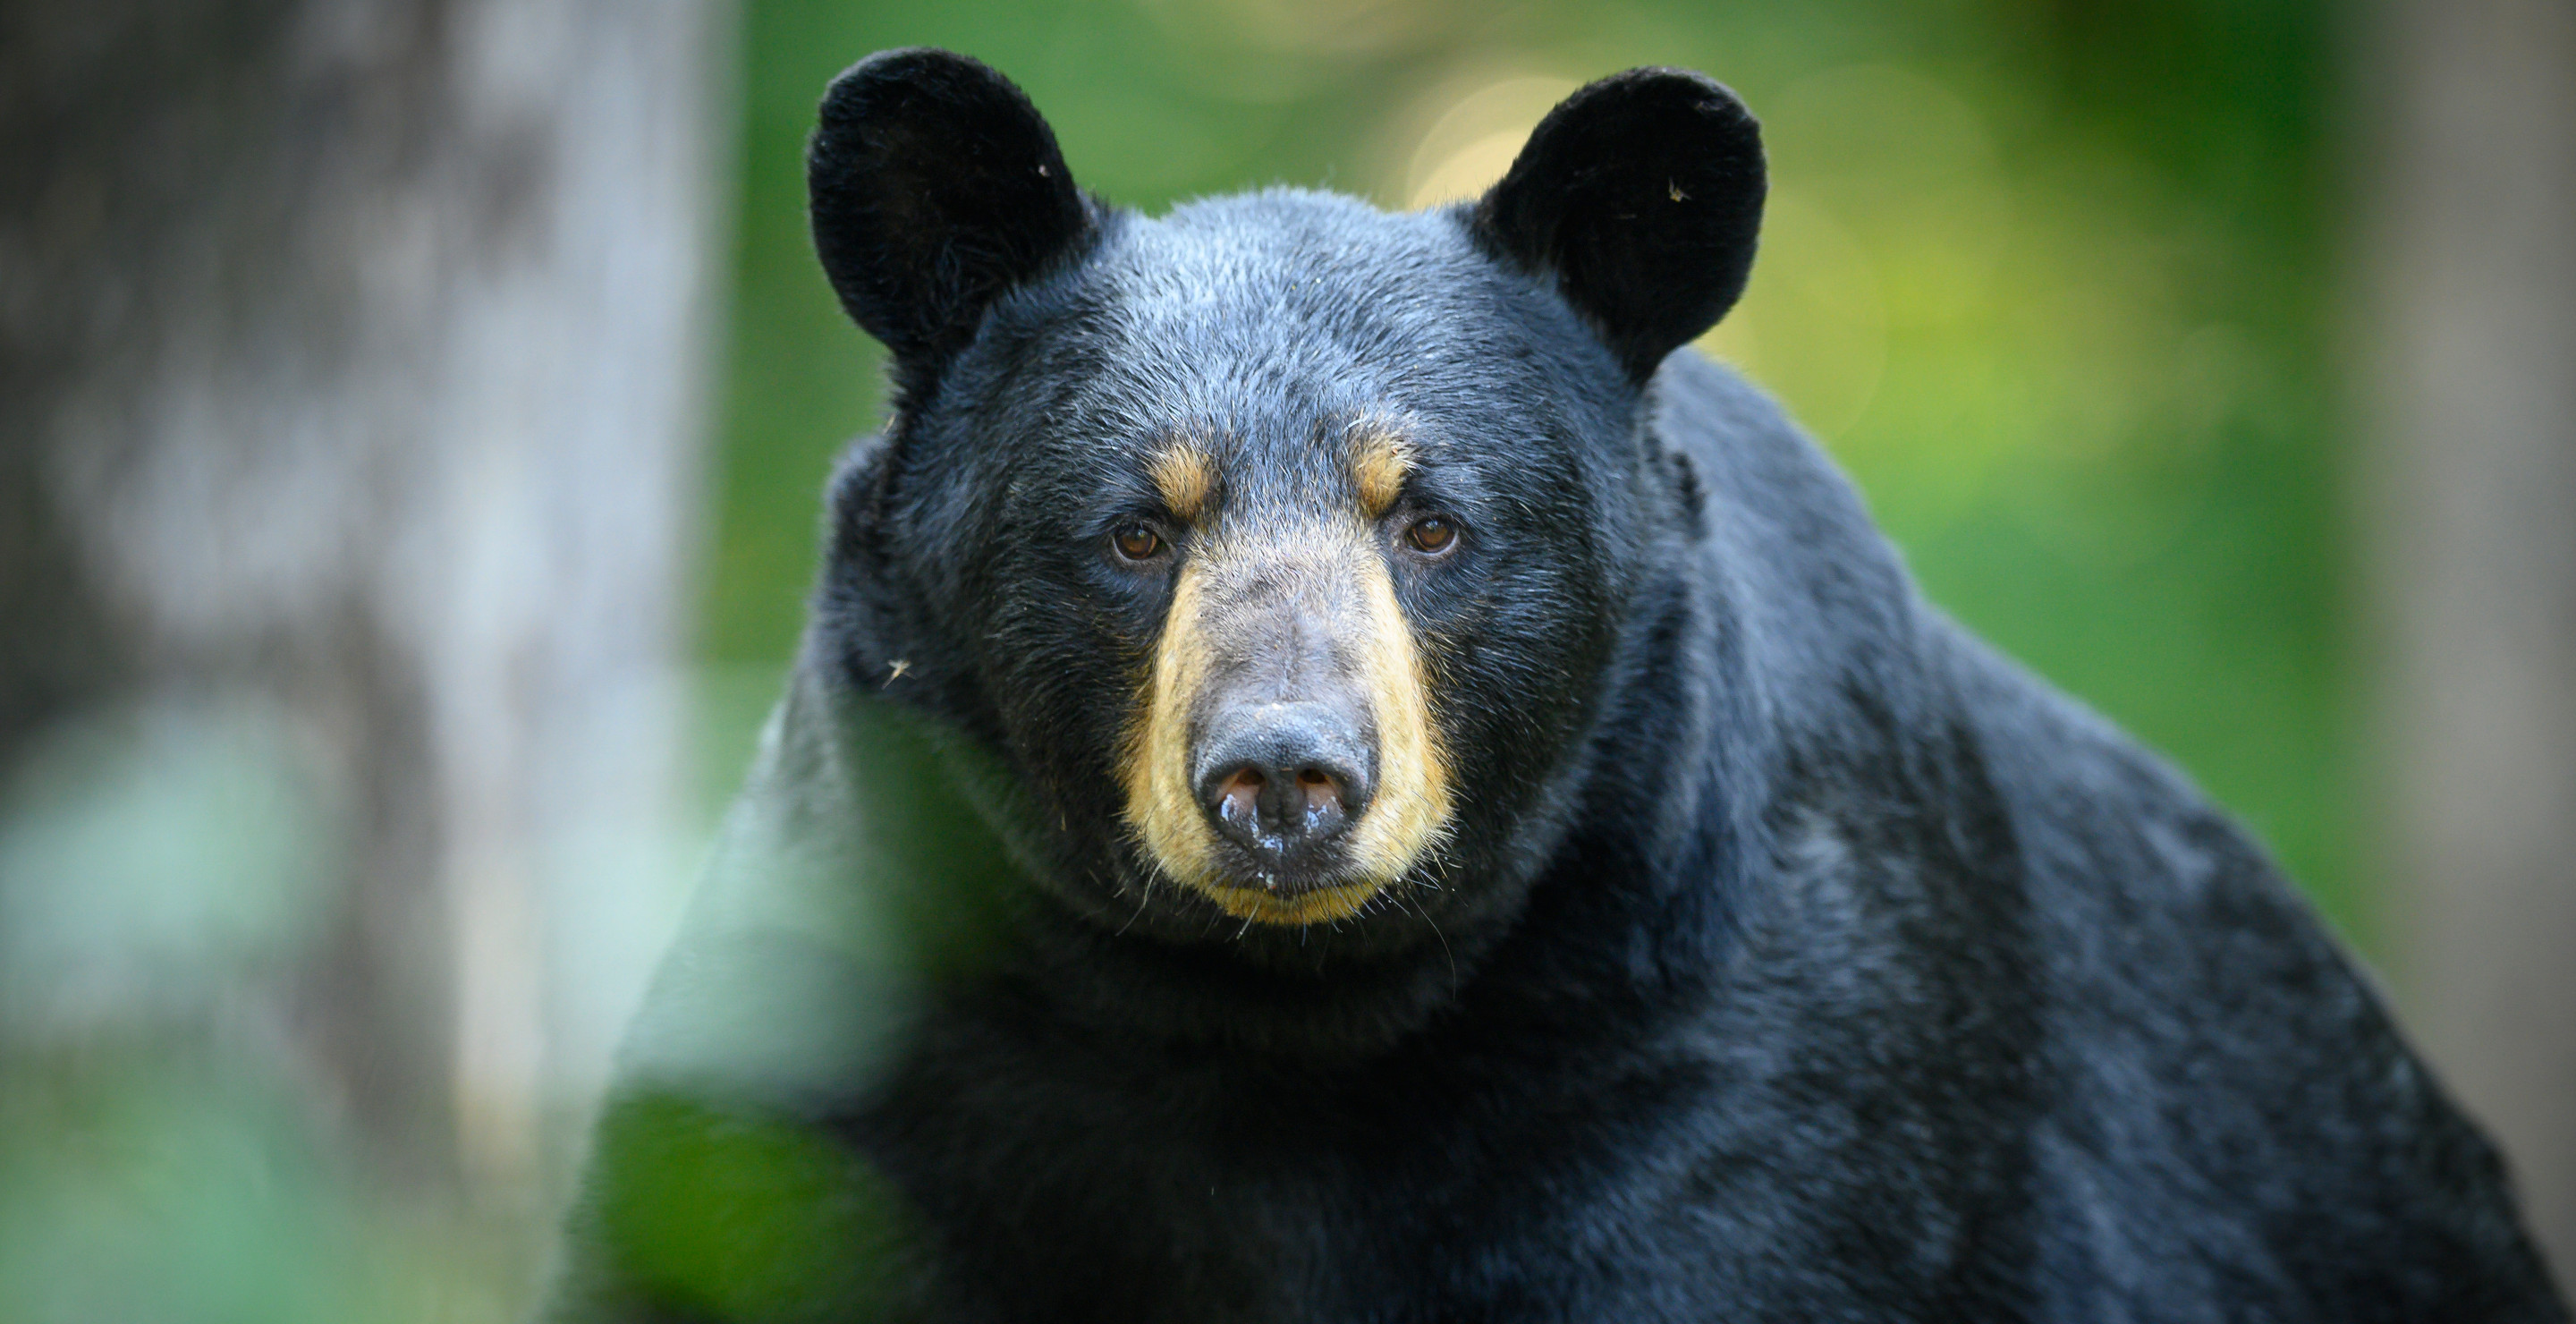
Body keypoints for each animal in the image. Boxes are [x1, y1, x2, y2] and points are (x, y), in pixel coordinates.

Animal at [538, 46, 2555, 1313]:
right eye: (1134, 528)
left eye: (1432, 521)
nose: (1285, 777)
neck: (1260, 1026)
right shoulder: (856, 1026)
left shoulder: (1737, 1069)